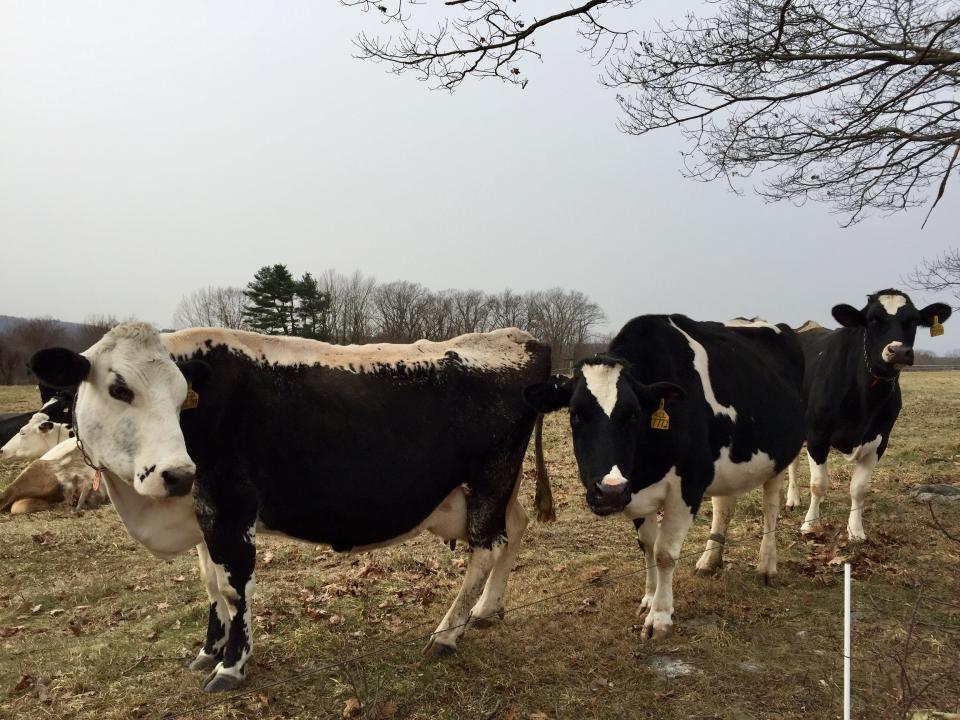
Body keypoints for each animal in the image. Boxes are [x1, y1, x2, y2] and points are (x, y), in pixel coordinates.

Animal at [520, 312, 808, 640]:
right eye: (575, 414)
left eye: (633, 414)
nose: (609, 492)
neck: (645, 465)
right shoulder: (634, 492)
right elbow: (647, 546)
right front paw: (648, 598)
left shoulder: (688, 486)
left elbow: (665, 554)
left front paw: (659, 616)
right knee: (725, 506)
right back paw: (710, 561)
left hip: (779, 457)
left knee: (771, 508)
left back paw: (766, 566)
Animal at [788, 288, 952, 540]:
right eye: (873, 320)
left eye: (914, 321)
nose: (899, 351)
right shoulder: (817, 435)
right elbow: (818, 483)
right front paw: (810, 524)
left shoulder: (879, 441)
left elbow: (859, 488)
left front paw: (855, 531)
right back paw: (792, 499)